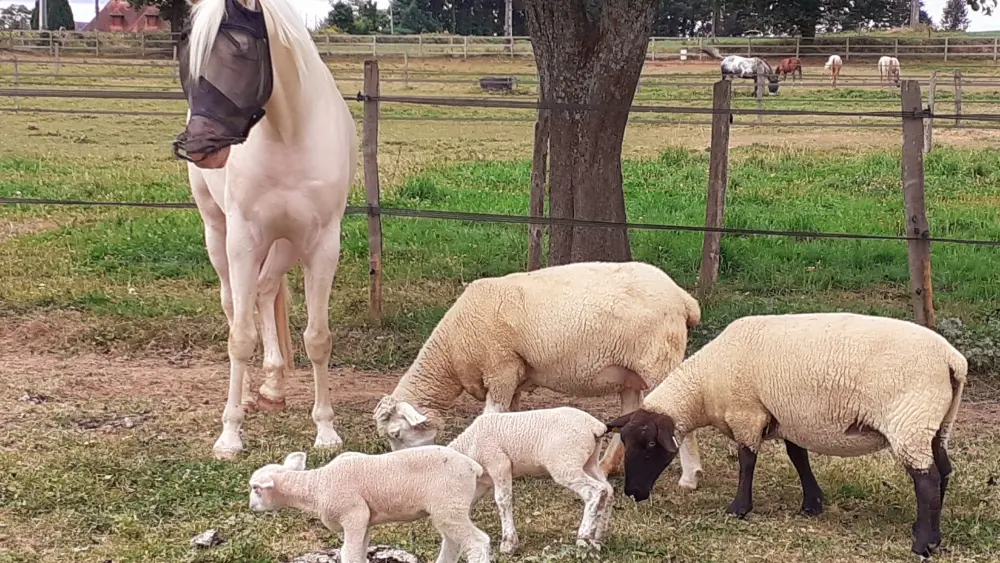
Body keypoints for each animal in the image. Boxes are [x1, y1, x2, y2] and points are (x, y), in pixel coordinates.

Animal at [173, 0, 360, 460]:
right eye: (186, 53)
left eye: (242, 51)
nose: (199, 147)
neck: (287, 134)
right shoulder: (243, 240)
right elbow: (240, 336)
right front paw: (229, 435)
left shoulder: (321, 245)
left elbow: (317, 338)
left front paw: (326, 431)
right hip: (217, 231)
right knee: (234, 302)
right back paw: (248, 394)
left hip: (285, 243)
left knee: (266, 289)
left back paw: (274, 386)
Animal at [250, 450, 492, 563]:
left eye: (255, 488)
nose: (251, 506)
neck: (316, 486)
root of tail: (473, 466)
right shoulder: (365, 521)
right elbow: (360, 552)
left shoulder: (353, 515)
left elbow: (348, 552)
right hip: (450, 508)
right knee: (453, 542)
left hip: (450, 506)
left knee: (477, 542)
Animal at [372, 260, 708, 490]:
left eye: (396, 434)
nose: (400, 470)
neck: (450, 352)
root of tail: (684, 300)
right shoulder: (515, 379)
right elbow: (509, 418)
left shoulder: (501, 368)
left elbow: (490, 416)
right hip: (629, 372)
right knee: (632, 410)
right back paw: (607, 466)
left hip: (659, 360)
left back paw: (690, 477)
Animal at [448, 406, 616, 556]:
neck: (469, 444)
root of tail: (594, 426)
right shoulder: (484, 482)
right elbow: (469, 502)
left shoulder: (499, 464)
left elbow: (503, 500)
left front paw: (509, 543)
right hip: (589, 462)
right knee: (608, 490)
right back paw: (597, 538)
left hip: (565, 462)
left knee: (595, 490)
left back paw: (584, 538)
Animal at [604, 312, 964, 560]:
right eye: (626, 442)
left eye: (651, 445)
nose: (633, 493)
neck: (704, 387)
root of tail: (953, 361)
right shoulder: (788, 417)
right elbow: (798, 457)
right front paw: (812, 504)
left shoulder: (747, 413)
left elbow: (747, 460)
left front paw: (739, 508)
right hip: (935, 424)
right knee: (943, 471)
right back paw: (931, 533)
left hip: (910, 420)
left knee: (926, 480)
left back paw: (922, 544)